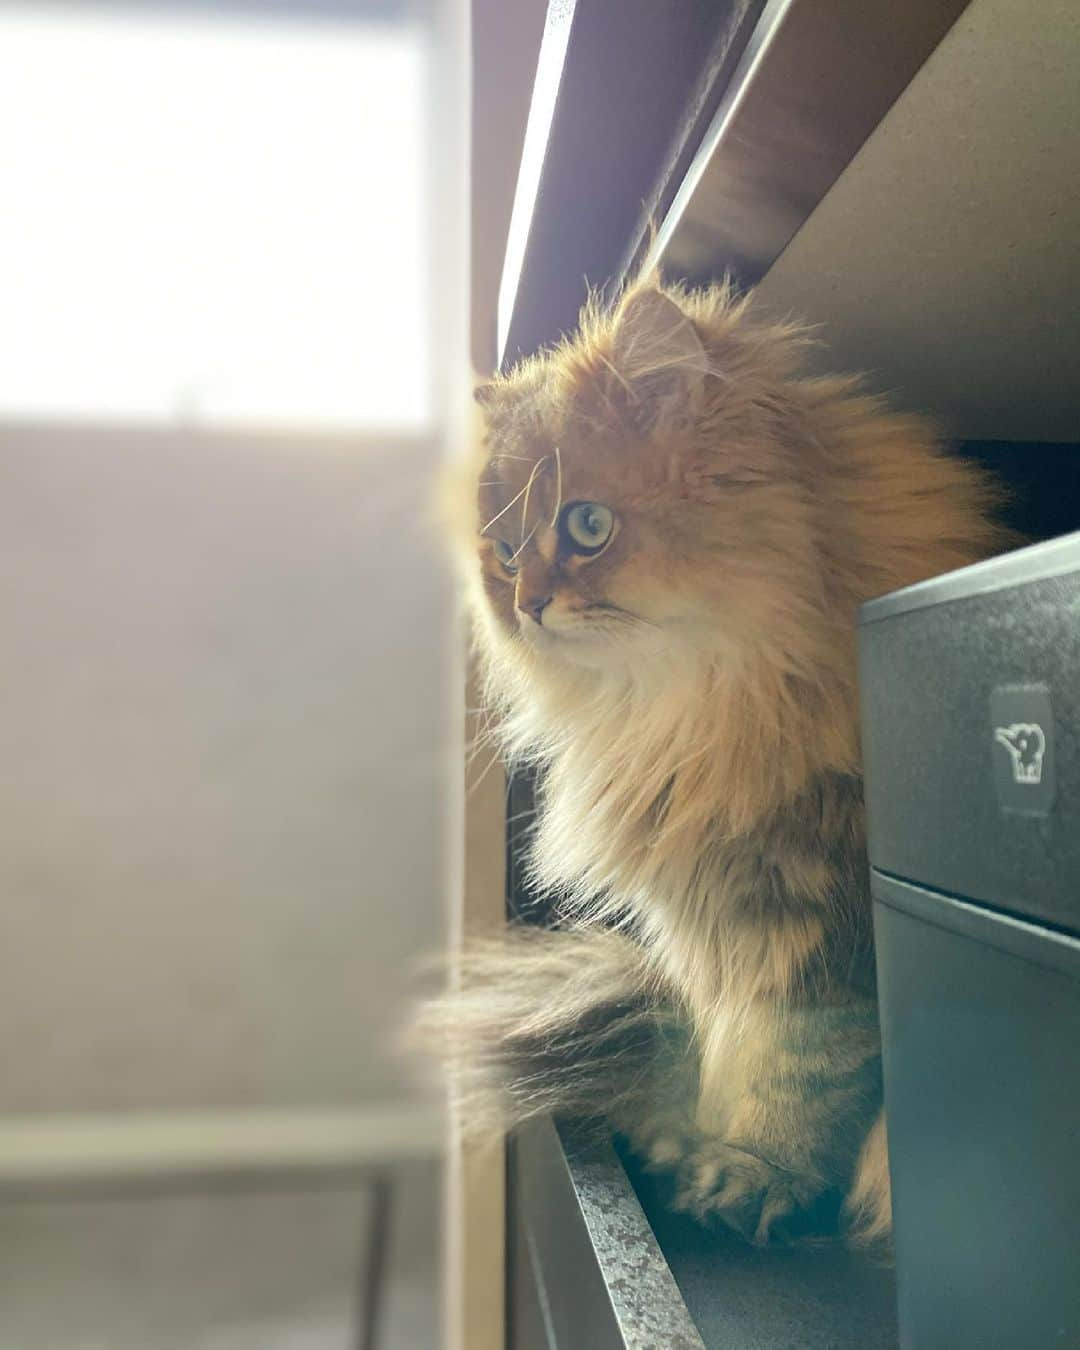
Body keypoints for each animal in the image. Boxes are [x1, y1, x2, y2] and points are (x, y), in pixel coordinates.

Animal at [418, 274, 1004, 1242]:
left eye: (587, 525)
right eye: (502, 555)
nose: (529, 603)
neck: (690, 714)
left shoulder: (815, 926)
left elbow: (798, 1072)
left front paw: (755, 1177)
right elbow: (735, 1054)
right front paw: (698, 1144)